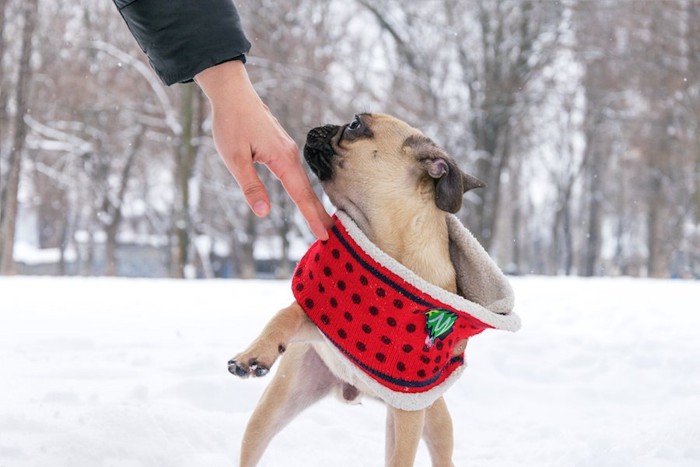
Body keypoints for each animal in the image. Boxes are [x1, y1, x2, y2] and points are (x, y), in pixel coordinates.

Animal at [227, 114, 516, 467]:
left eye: (354, 125)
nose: (322, 126)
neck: (387, 243)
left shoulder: (409, 409)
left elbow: (401, 458)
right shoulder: (322, 323)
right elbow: (285, 315)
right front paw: (255, 353)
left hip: (433, 418)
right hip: (275, 406)